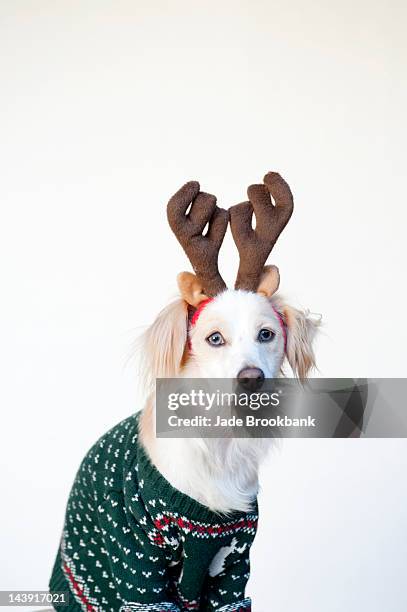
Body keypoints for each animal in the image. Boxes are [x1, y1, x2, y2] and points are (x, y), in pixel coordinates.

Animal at [49, 172, 320, 612]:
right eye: (214, 338)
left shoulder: (234, 563)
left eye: (266, 334)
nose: (251, 378)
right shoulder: (138, 565)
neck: (219, 446)